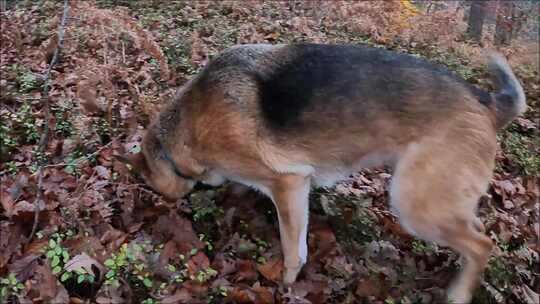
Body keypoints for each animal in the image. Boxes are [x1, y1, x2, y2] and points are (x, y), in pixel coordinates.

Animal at [129, 44, 524, 302]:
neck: (186, 127)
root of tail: (486, 101)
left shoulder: (288, 184)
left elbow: (294, 251)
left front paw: (286, 286)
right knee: (474, 232)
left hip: (415, 205)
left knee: (483, 245)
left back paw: (459, 292)